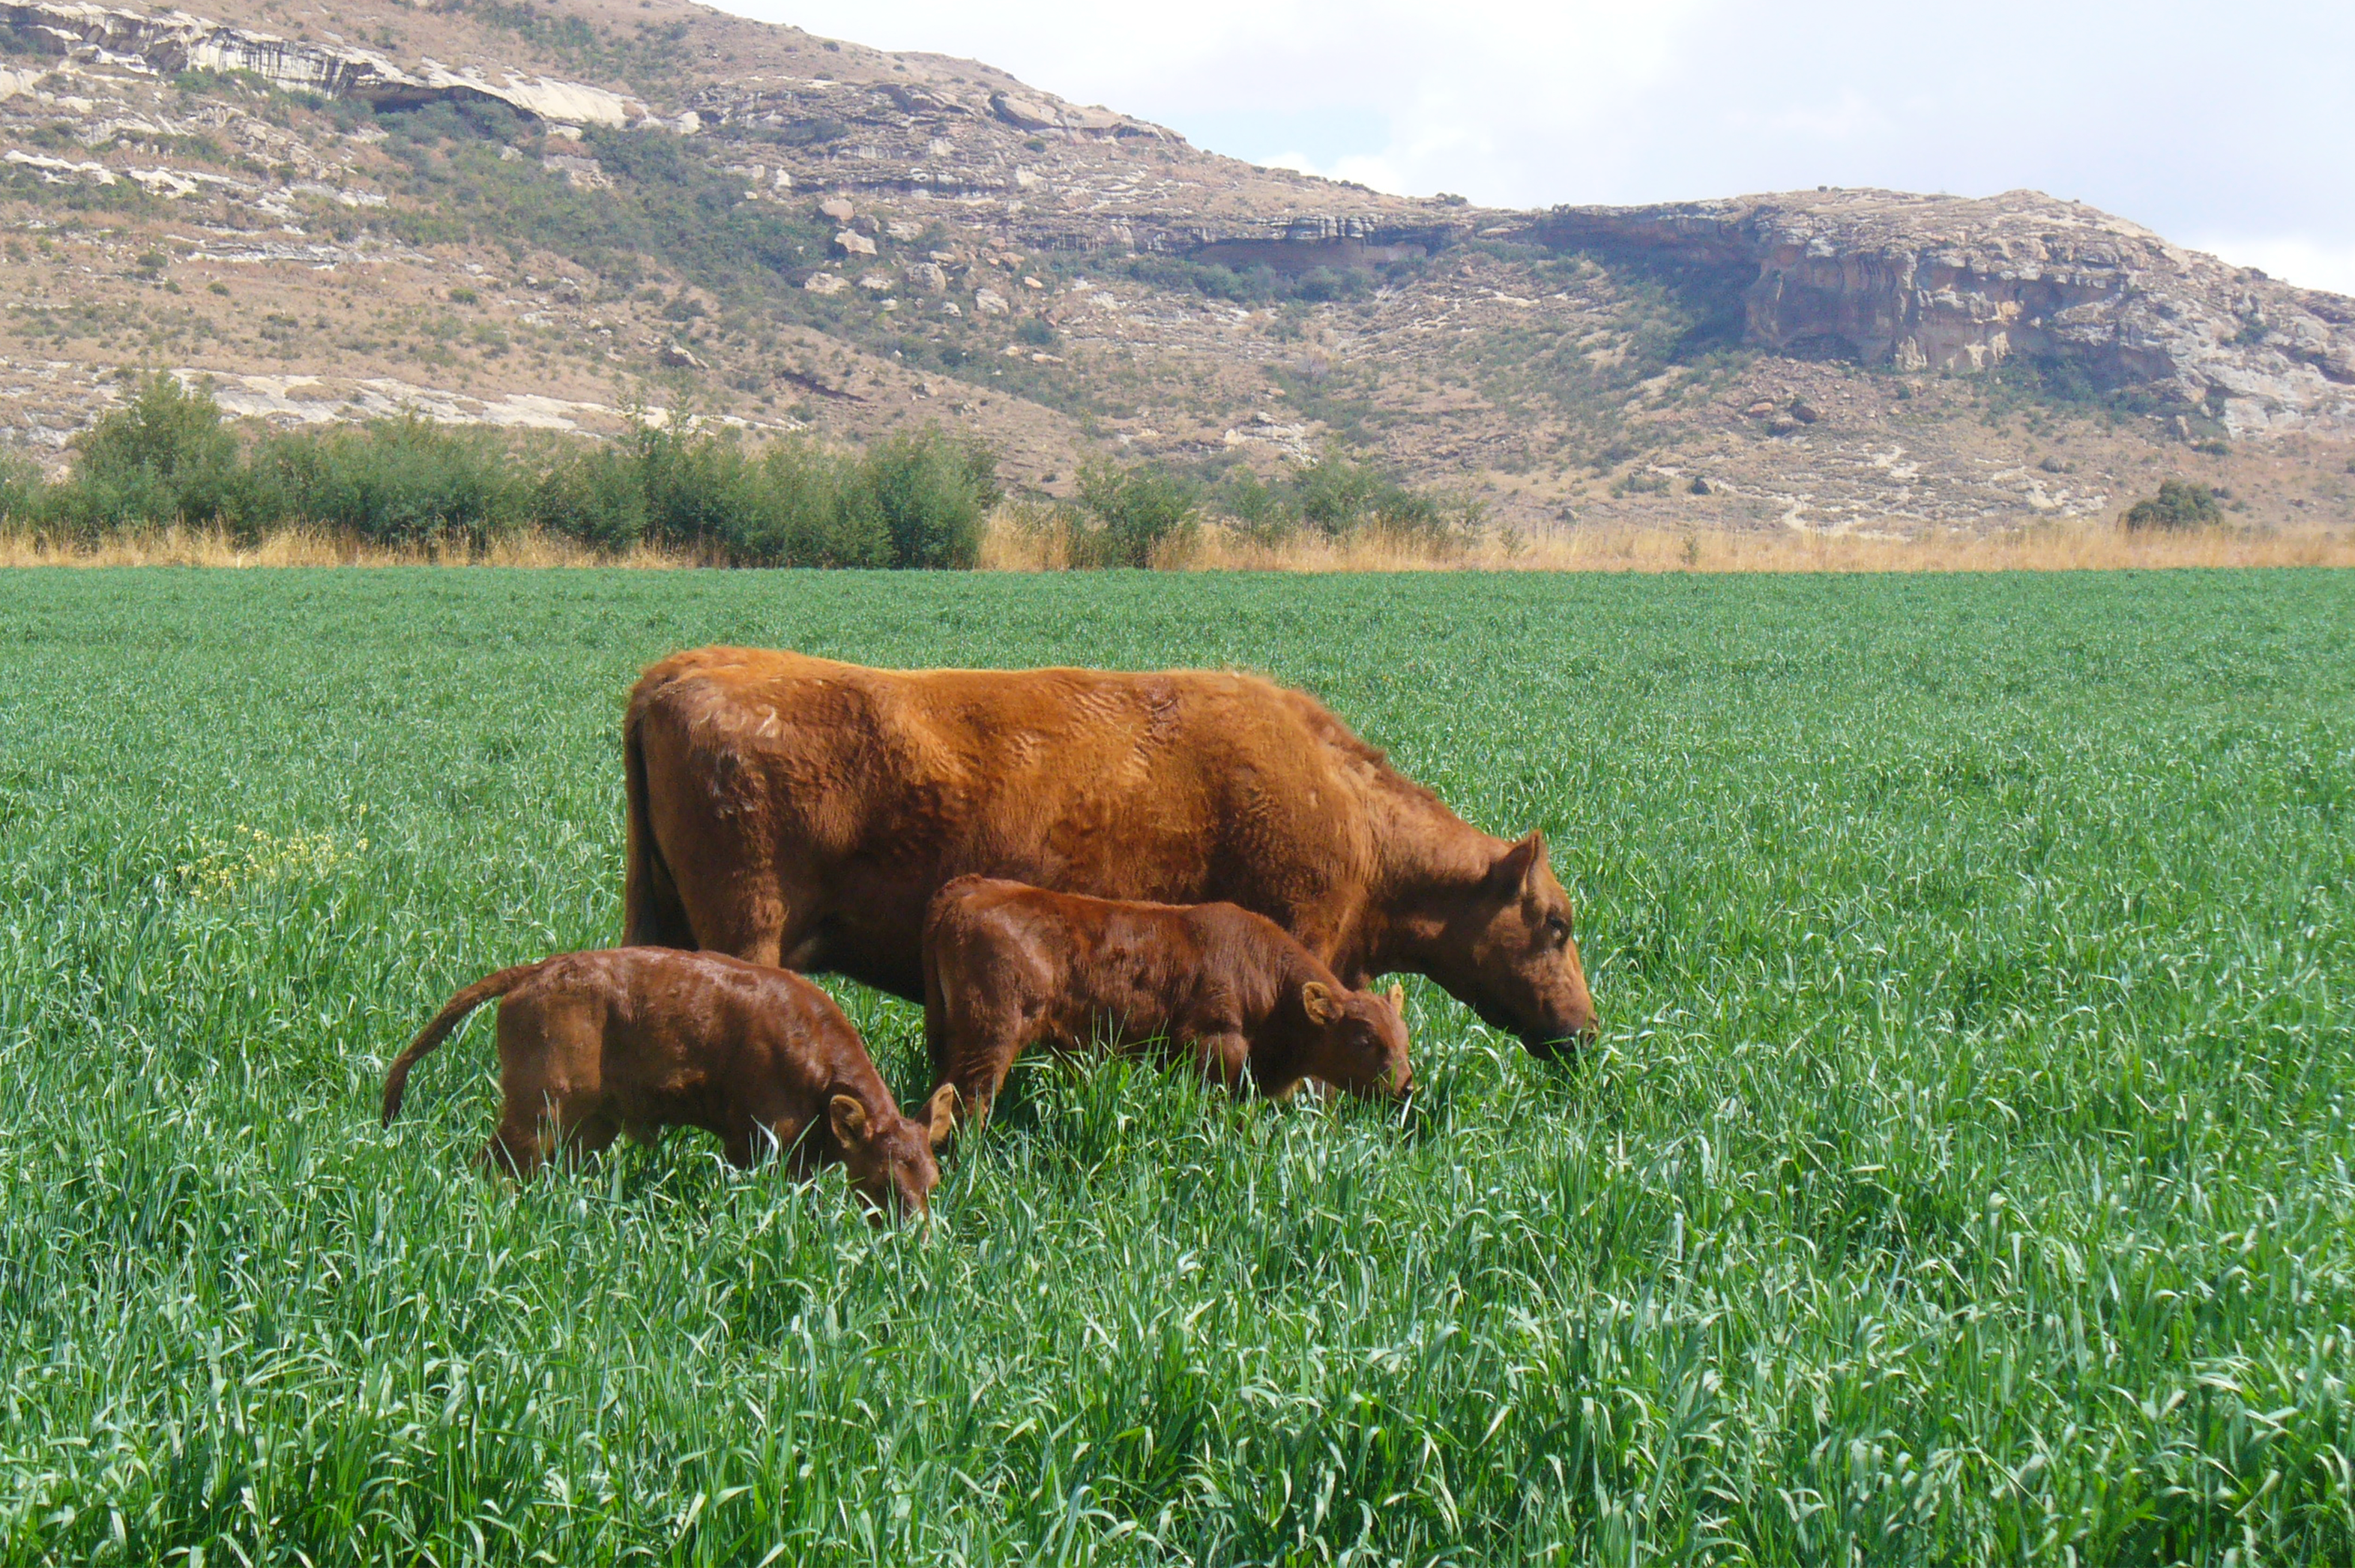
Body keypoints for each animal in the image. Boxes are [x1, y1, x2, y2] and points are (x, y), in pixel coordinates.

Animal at [376, 941, 947, 1205]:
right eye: (888, 1185)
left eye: (934, 1184)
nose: (918, 1246)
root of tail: (538, 971)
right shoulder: (760, 1140)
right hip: (539, 1107)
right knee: (492, 1165)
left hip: (590, 1123)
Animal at [923, 880, 1413, 1125]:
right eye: (1363, 1040)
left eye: (1404, 1038)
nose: (1408, 1085)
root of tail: (971, 888)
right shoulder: (1215, 1046)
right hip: (990, 1040)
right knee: (970, 1101)